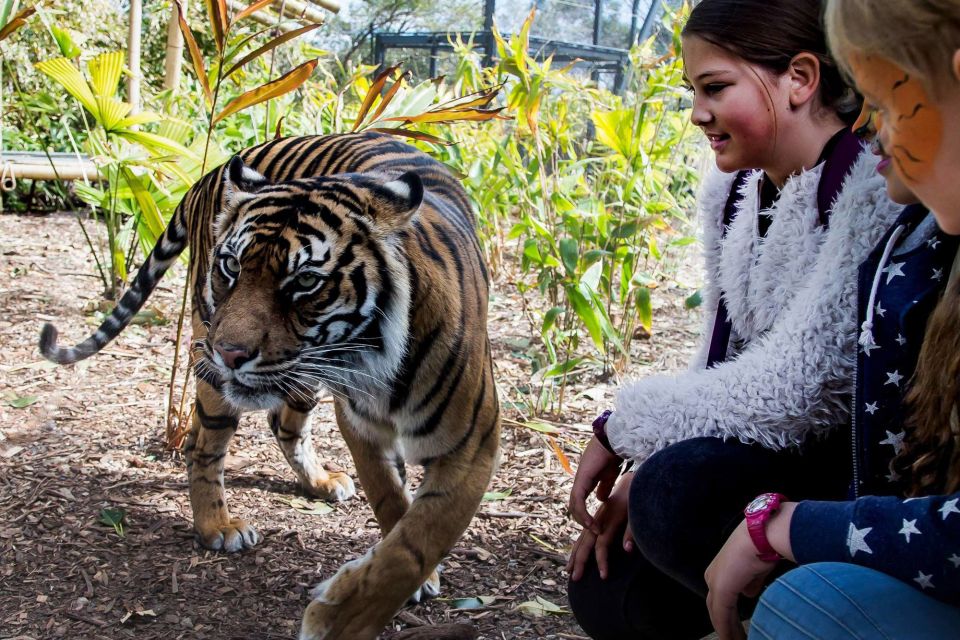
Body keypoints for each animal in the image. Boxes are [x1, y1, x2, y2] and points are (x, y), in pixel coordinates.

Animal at [37, 131, 502, 640]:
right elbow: (392, 504)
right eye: (231, 266)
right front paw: (341, 620)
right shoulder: (361, 426)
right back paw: (217, 525)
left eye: (305, 280)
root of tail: (213, 171)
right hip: (214, 360)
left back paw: (319, 482)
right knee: (205, 445)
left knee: (280, 423)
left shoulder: (471, 446)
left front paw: (350, 610)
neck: (379, 360)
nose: (229, 353)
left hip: (293, 376)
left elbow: (415, 541)